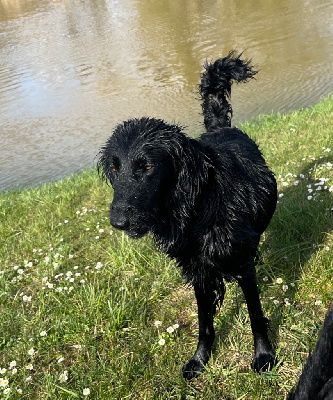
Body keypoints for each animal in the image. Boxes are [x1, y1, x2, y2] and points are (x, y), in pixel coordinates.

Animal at [97, 51, 276, 380]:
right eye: (115, 167)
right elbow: (205, 323)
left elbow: (255, 315)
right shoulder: (198, 272)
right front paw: (200, 360)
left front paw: (264, 356)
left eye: (147, 166)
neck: (197, 209)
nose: (118, 222)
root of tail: (219, 128)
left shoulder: (242, 264)